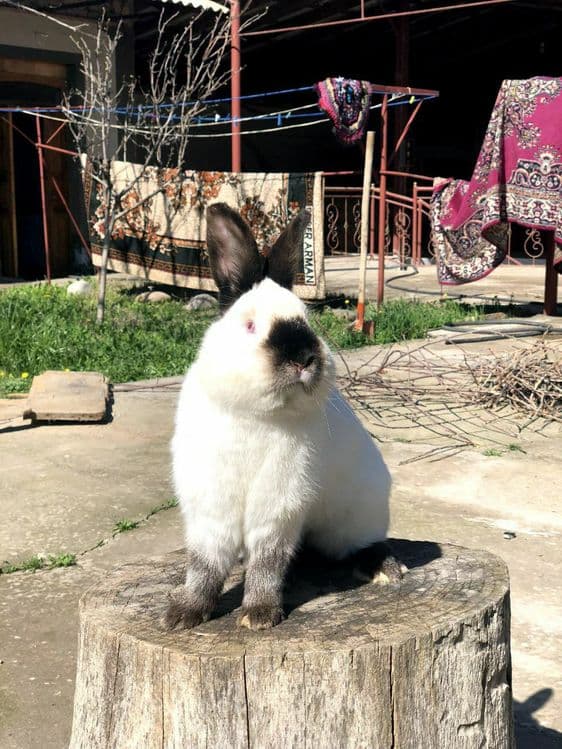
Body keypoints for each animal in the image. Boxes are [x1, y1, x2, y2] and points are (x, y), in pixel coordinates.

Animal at [164, 202, 403, 632]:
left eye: (306, 320)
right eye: (250, 325)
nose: (303, 358)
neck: (256, 415)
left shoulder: (278, 508)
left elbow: (267, 563)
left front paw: (258, 616)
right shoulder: (210, 508)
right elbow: (204, 565)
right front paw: (183, 613)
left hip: (361, 513)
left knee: (363, 543)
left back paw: (384, 568)